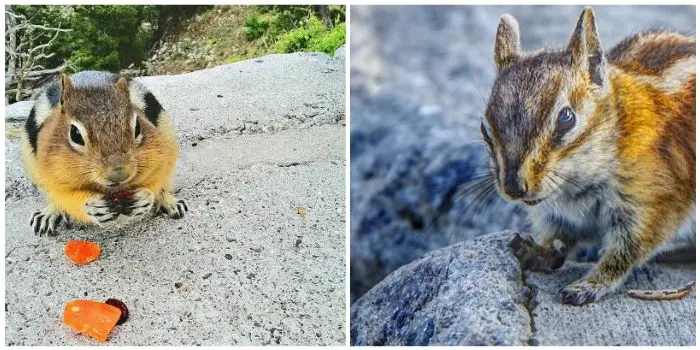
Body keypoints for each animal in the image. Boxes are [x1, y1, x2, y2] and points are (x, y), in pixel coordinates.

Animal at [22, 71, 189, 235]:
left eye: (137, 127)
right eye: (75, 134)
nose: (119, 174)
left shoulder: (159, 156)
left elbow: (156, 179)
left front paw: (145, 197)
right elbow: (65, 196)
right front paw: (92, 206)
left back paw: (169, 202)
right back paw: (49, 213)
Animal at [482, 6, 696, 304]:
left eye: (566, 118)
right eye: (484, 128)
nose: (513, 188)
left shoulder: (652, 201)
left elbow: (626, 252)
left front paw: (589, 285)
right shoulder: (555, 214)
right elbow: (558, 237)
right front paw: (536, 251)